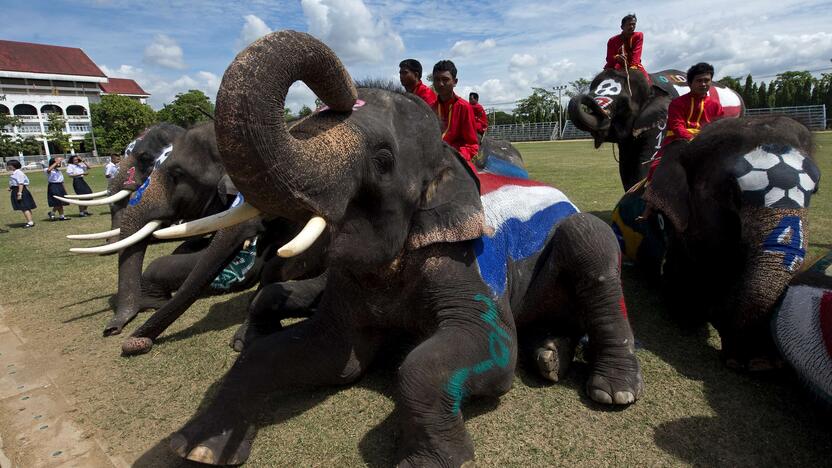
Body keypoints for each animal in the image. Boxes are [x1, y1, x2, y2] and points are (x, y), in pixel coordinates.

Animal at [166, 31, 640, 466]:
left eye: (383, 160)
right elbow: (335, 355)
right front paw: (199, 448)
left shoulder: (468, 262)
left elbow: (481, 351)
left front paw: (426, 460)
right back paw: (549, 356)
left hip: (580, 236)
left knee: (590, 242)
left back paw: (612, 390)